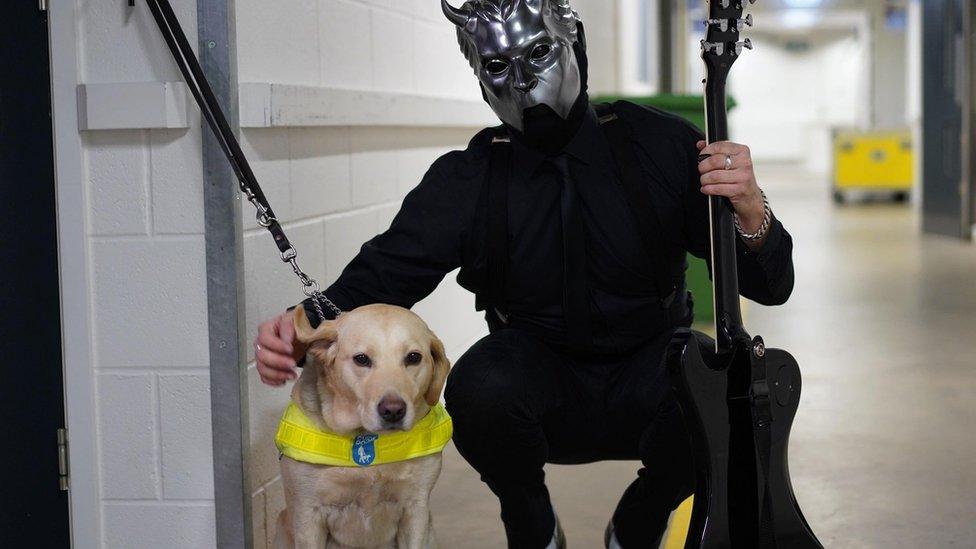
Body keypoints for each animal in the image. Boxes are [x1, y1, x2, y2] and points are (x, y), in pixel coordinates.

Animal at [272, 304, 452, 548]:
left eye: (413, 357)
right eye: (362, 359)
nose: (393, 411)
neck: (365, 438)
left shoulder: (416, 510)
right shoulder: (308, 515)